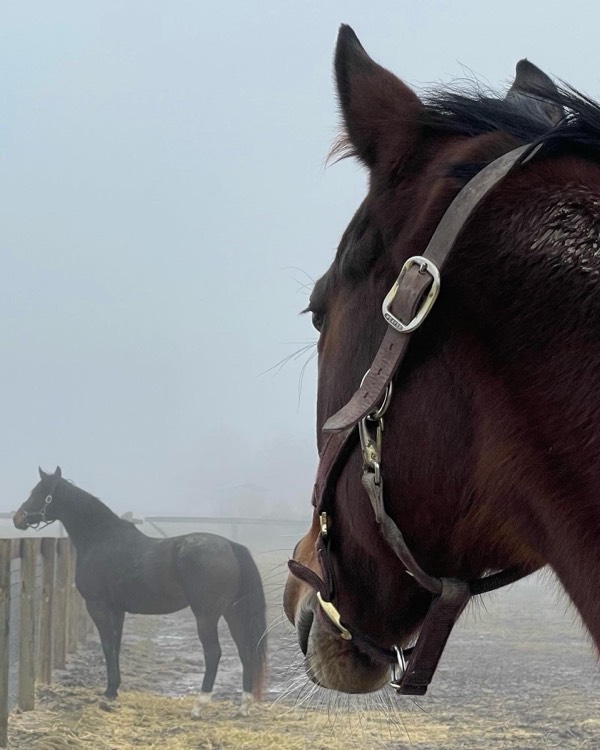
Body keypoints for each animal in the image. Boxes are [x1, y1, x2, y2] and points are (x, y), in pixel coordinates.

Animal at [14, 467, 267, 716]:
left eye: (39, 492)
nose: (18, 518)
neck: (101, 539)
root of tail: (230, 546)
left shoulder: (98, 605)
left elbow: (107, 645)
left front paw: (108, 693)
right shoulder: (117, 609)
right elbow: (115, 644)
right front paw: (114, 689)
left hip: (207, 615)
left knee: (213, 653)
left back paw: (199, 705)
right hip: (232, 612)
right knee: (246, 650)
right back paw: (244, 706)